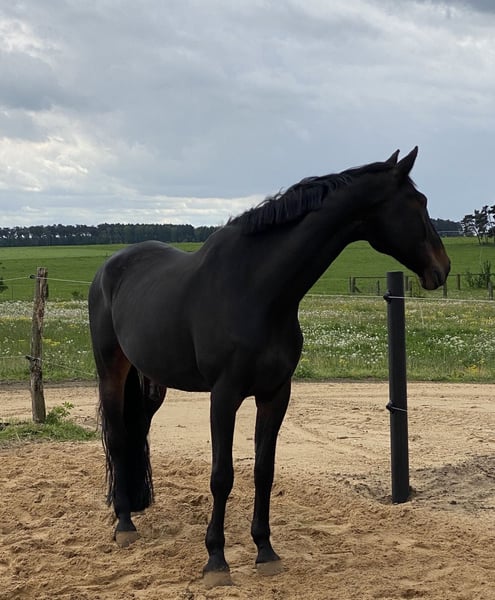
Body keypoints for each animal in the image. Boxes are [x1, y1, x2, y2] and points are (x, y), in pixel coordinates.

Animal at [88, 147, 450, 585]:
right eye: (419, 202)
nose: (443, 268)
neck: (258, 290)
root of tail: (109, 267)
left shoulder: (276, 393)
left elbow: (264, 469)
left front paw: (265, 550)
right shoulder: (224, 396)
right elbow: (222, 476)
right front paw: (216, 560)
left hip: (151, 380)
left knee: (138, 432)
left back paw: (137, 507)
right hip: (112, 370)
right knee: (117, 437)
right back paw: (124, 523)